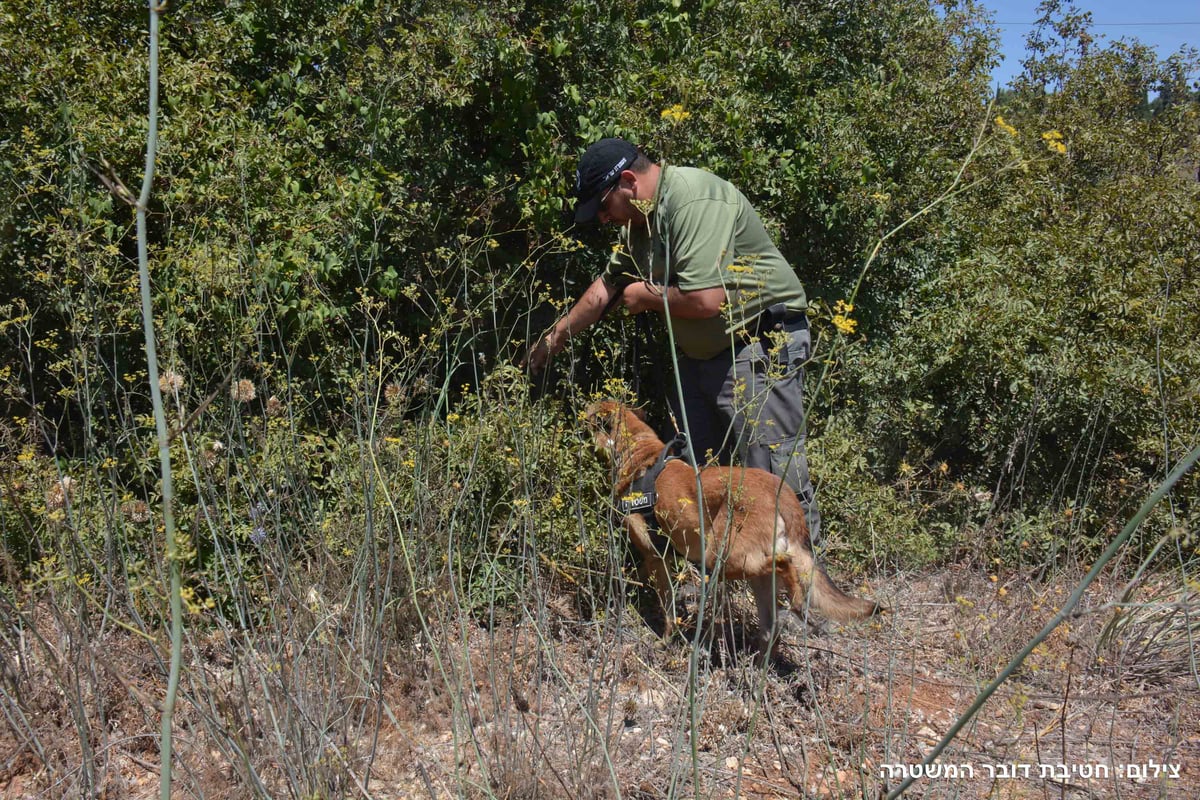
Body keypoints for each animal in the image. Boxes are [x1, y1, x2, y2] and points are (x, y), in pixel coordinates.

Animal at [585, 398, 878, 647]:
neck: (639, 451)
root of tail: (782, 493)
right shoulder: (655, 558)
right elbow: (639, 576)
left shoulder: (657, 556)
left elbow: (667, 608)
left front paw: (665, 640)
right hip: (751, 576)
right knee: (770, 627)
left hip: (720, 556)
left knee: (784, 563)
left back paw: (795, 598)